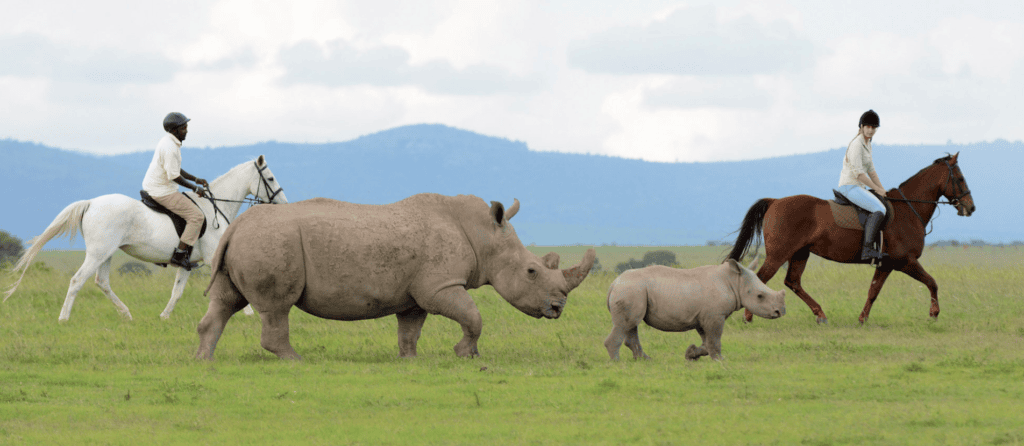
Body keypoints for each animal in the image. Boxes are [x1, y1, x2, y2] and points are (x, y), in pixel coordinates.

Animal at [196, 194, 596, 360]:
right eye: (532, 271)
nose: (558, 308)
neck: (485, 235)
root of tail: (235, 226)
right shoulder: (440, 285)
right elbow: (473, 316)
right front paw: (465, 355)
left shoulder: (416, 293)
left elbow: (410, 329)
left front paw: (409, 360)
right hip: (271, 242)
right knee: (277, 307)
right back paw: (295, 360)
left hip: (243, 243)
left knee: (225, 301)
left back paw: (204, 360)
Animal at [604, 257, 785, 361]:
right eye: (760, 296)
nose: (780, 312)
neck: (734, 281)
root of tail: (613, 284)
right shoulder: (715, 315)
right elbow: (715, 340)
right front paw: (720, 360)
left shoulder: (704, 316)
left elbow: (707, 342)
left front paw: (691, 354)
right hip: (631, 290)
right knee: (626, 324)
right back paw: (617, 362)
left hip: (633, 290)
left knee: (631, 324)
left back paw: (644, 360)